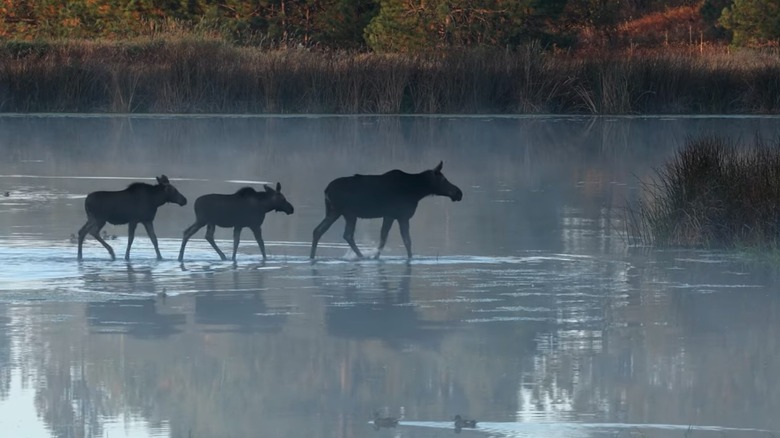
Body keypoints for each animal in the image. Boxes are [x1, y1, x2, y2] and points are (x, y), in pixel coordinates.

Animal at [310, 162, 460, 260]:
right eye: (443, 179)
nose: (459, 193)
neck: (417, 191)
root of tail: (326, 190)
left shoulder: (391, 216)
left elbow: (384, 238)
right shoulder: (399, 215)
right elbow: (404, 240)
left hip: (334, 211)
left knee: (318, 230)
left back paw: (312, 256)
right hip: (349, 213)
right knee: (347, 234)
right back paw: (361, 256)